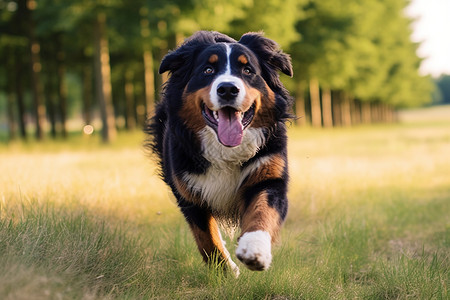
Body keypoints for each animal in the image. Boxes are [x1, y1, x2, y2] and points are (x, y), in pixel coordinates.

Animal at [146, 31, 294, 276]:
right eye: (208, 70)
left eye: (248, 70)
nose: (227, 89)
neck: (225, 150)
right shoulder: (188, 192)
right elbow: (206, 236)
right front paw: (225, 270)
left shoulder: (268, 176)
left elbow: (262, 213)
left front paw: (255, 251)